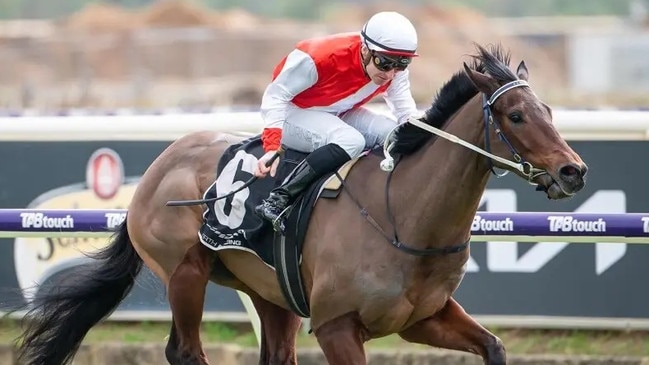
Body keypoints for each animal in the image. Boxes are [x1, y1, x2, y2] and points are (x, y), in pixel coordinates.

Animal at [15, 43, 584, 364]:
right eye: (515, 115)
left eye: (548, 109)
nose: (572, 171)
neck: (403, 215)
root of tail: (159, 165)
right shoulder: (337, 327)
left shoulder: (425, 317)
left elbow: (495, 346)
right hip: (184, 271)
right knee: (184, 349)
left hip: (271, 292)